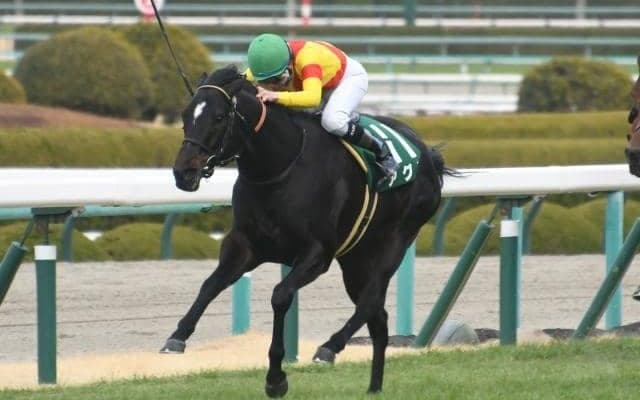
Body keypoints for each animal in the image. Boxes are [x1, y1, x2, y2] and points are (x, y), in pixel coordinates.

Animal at [163, 65, 450, 397]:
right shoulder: (244, 245)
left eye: (220, 117)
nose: (184, 173)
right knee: (377, 316)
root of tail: (427, 153)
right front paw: (177, 335)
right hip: (356, 259)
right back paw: (373, 388)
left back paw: (330, 347)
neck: (280, 168)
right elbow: (210, 285)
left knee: (370, 301)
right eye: (186, 115)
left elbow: (280, 296)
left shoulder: (316, 254)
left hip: (396, 239)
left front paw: (276, 379)